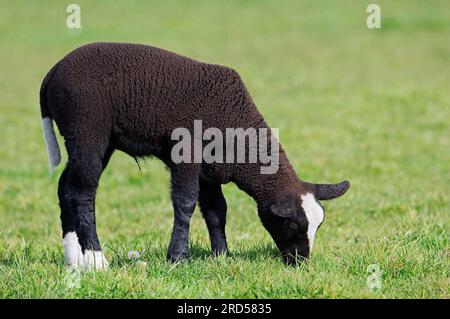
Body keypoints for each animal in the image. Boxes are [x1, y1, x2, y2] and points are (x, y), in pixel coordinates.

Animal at [39, 42, 348, 270]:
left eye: (319, 224)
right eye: (293, 223)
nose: (300, 262)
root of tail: (52, 74)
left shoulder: (209, 171)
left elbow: (216, 211)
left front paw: (222, 256)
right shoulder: (186, 154)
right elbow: (185, 203)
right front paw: (178, 258)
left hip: (97, 142)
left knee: (66, 188)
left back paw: (74, 259)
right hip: (86, 130)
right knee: (83, 193)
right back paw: (96, 260)